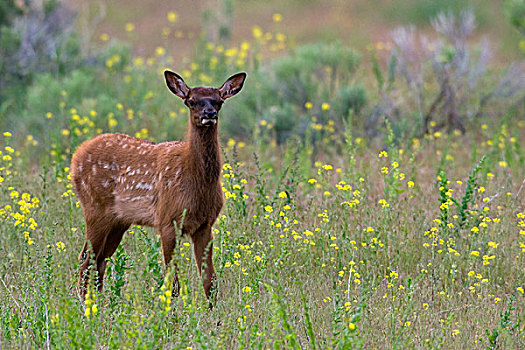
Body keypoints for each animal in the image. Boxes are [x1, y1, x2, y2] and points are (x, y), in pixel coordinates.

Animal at [70, 71, 247, 300]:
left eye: (219, 101)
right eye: (191, 101)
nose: (209, 113)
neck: (195, 181)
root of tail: (76, 156)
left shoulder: (205, 224)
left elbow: (210, 282)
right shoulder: (167, 219)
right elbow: (173, 284)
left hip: (118, 220)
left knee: (99, 260)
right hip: (95, 207)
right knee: (85, 259)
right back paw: (86, 305)